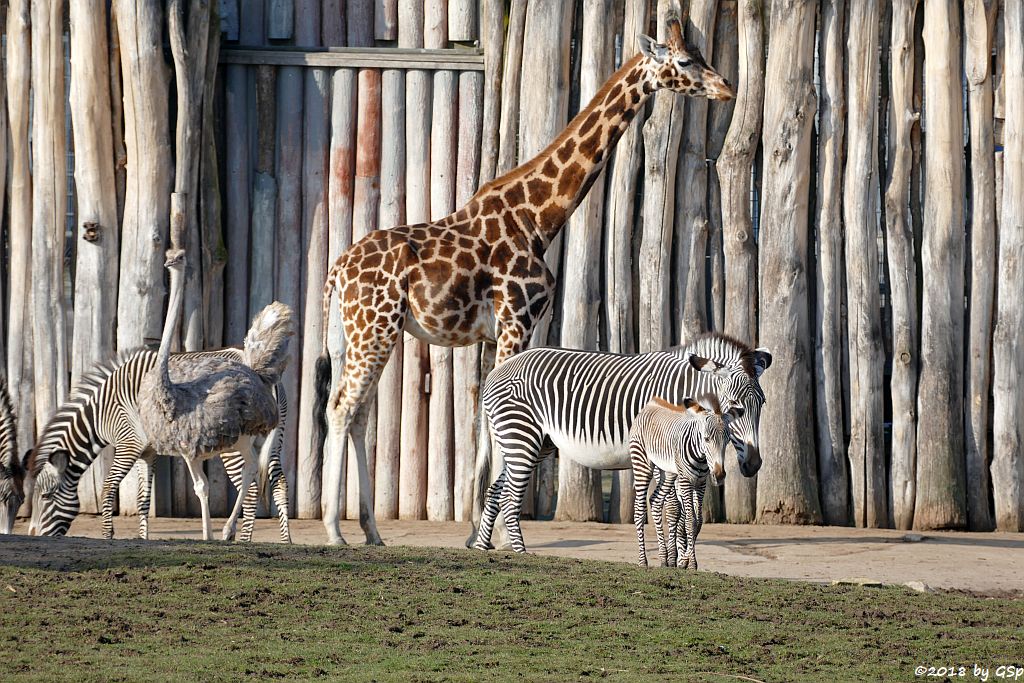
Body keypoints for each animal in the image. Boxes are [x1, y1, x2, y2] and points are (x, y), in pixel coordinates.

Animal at [29, 348, 292, 544]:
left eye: (45, 496)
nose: (35, 537)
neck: (100, 412)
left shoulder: (128, 444)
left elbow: (108, 487)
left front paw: (107, 535)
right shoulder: (147, 451)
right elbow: (143, 499)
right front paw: (143, 538)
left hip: (232, 444)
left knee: (251, 489)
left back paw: (241, 538)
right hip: (274, 438)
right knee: (279, 482)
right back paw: (285, 540)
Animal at [313, 10, 737, 544]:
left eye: (701, 56)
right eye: (683, 61)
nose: (727, 87)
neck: (540, 217)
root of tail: (336, 272)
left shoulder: (498, 333)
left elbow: (483, 425)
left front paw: (477, 530)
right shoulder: (517, 319)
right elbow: (500, 427)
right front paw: (494, 534)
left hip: (357, 333)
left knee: (358, 413)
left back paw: (371, 530)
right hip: (374, 327)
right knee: (341, 408)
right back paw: (335, 531)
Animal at [471, 333, 770, 552]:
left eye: (762, 404)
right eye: (735, 407)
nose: (754, 465)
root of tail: (497, 370)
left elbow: (684, 510)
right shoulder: (665, 453)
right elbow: (674, 507)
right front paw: (677, 556)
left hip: (534, 443)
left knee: (495, 490)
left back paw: (482, 546)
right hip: (521, 435)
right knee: (510, 496)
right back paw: (521, 552)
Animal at [622, 395, 737, 573]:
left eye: (727, 440)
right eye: (706, 439)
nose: (719, 475)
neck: (701, 457)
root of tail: (651, 403)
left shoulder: (701, 483)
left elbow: (698, 521)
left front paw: (683, 560)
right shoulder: (685, 481)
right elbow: (690, 521)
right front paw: (690, 563)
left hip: (667, 472)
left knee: (655, 501)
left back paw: (664, 559)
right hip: (642, 464)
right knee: (639, 510)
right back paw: (643, 561)